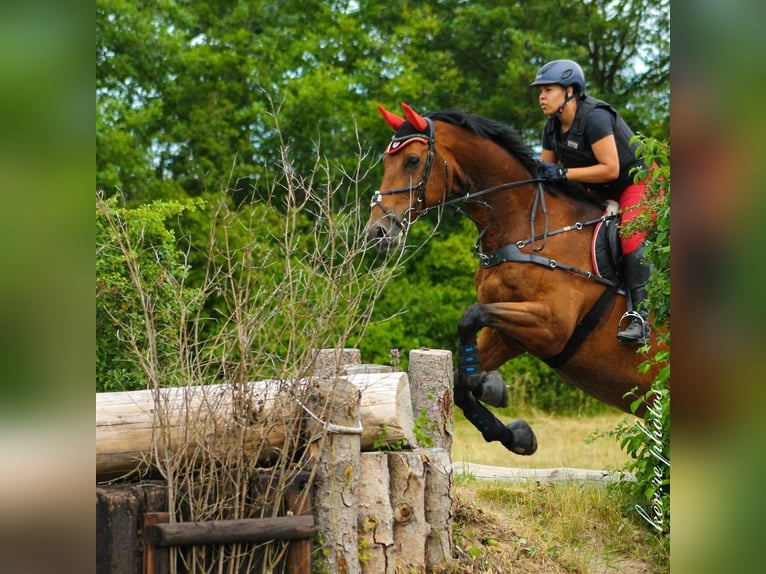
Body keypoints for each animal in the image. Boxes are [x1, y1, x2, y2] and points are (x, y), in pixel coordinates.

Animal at [366, 101, 660, 456]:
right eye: (386, 161)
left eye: (412, 160)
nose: (377, 233)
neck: (526, 229)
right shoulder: (512, 334)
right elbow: (460, 382)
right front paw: (516, 433)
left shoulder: (552, 326)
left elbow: (469, 318)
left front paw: (486, 384)